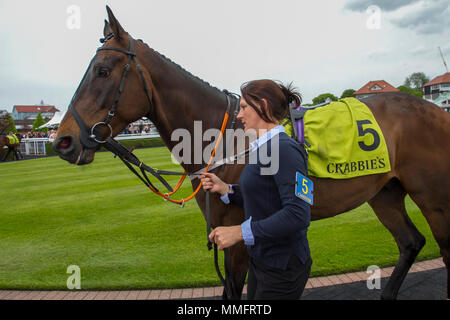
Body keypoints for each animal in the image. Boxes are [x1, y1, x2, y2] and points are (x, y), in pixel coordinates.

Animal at [51, 5, 448, 300]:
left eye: (102, 70)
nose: (62, 140)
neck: (223, 138)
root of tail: (435, 109)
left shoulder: (239, 237)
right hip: (384, 192)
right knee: (411, 242)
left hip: (433, 197)